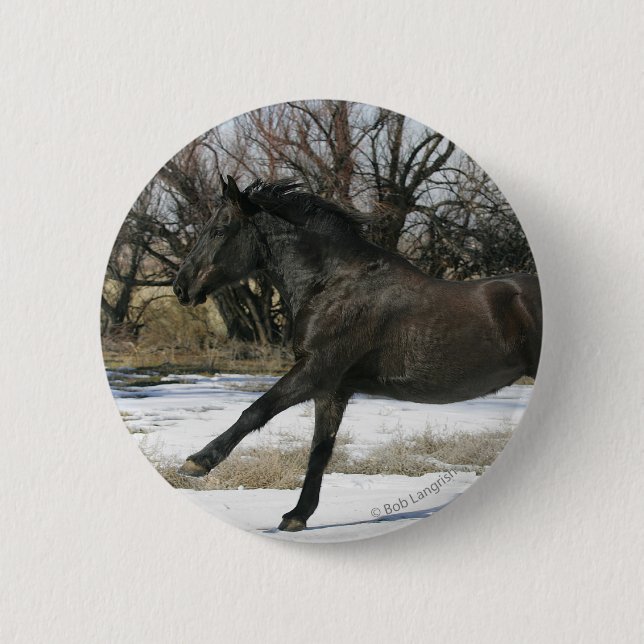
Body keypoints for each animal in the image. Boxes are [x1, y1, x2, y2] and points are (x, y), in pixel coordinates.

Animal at [172, 175, 542, 531]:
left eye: (220, 230)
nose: (180, 288)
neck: (332, 285)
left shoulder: (316, 370)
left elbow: (256, 411)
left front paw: (197, 462)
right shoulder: (333, 390)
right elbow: (320, 449)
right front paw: (297, 516)